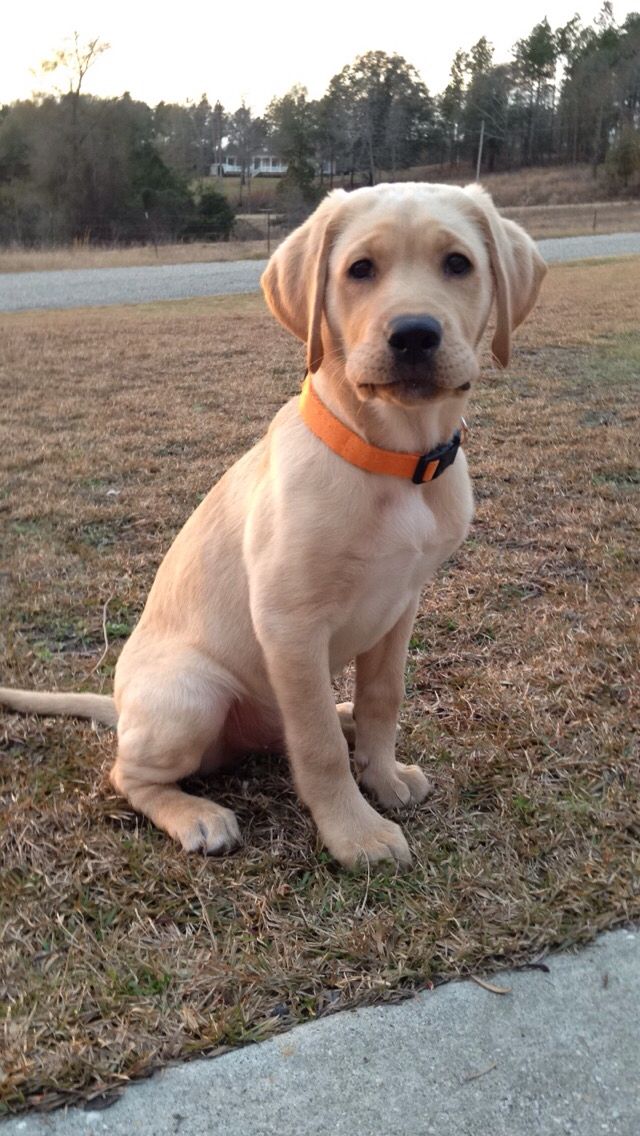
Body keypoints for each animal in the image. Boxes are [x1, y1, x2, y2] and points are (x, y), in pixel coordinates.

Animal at [2, 181, 547, 863]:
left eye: (458, 264)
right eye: (359, 270)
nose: (415, 335)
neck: (389, 457)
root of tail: (122, 708)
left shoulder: (402, 606)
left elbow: (384, 698)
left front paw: (383, 776)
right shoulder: (290, 622)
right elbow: (315, 747)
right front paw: (355, 832)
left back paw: (344, 721)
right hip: (193, 694)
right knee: (130, 774)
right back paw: (197, 815)